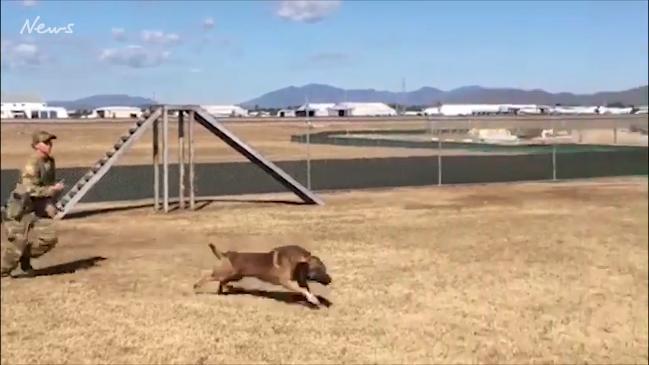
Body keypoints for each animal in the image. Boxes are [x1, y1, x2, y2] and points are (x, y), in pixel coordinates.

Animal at [194, 243, 332, 306]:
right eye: (319, 269)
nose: (330, 280)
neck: (297, 260)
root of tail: (227, 254)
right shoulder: (285, 282)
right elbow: (302, 289)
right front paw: (313, 299)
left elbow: (305, 289)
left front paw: (312, 298)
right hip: (225, 273)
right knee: (207, 275)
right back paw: (197, 285)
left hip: (235, 275)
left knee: (222, 281)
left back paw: (222, 290)